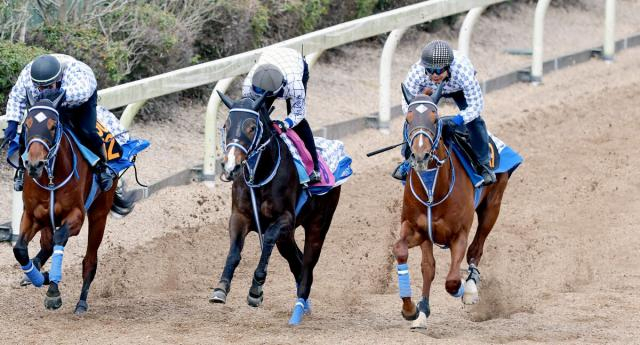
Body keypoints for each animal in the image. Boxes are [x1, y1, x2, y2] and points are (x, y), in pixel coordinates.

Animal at [13, 92, 116, 314]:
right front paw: (39, 276)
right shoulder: (32, 215)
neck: (50, 178)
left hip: (99, 213)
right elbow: (20, 249)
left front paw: (53, 292)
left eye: (53, 126)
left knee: (89, 260)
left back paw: (81, 302)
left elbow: (60, 238)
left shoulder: (76, 216)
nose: (34, 164)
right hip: (47, 220)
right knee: (47, 244)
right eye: (27, 124)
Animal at [209, 91, 340, 326]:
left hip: (318, 225)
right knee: (296, 262)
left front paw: (256, 289)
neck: (260, 174)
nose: (230, 165)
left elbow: (268, 238)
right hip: (286, 238)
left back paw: (298, 310)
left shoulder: (285, 219)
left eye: (252, 127)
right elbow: (234, 253)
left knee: (307, 265)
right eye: (226, 124)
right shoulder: (240, 217)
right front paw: (221, 288)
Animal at [392, 86, 516, 328]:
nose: (420, 155)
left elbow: (452, 281)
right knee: (429, 266)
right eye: (408, 119)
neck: (433, 189)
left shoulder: (459, 234)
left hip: (492, 207)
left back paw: (470, 287)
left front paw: (465, 291)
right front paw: (413, 310)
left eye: (435, 119)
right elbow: (411, 257)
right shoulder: (417, 228)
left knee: (476, 248)